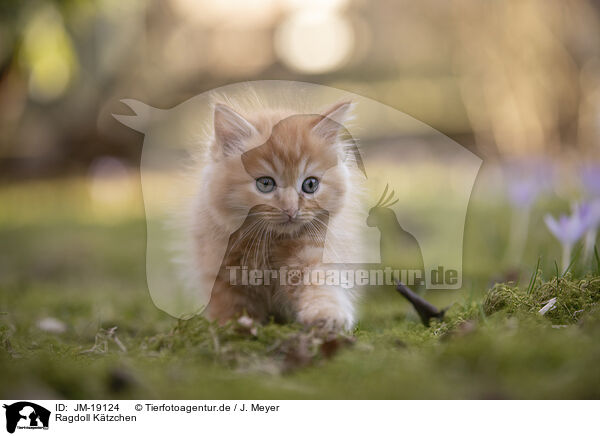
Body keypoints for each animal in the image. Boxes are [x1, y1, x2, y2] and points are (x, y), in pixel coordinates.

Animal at [190, 99, 364, 330]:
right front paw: (234, 325)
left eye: (310, 184)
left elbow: (320, 284)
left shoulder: (315, 252)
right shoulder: (221, 269)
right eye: (265, 183)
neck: (270, 242)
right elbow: (230, 306)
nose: (291, 209)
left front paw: (326, 315)